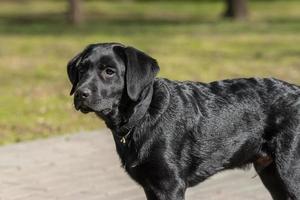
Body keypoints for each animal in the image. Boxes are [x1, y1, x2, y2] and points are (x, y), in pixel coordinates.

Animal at [68, 43, 300, 199]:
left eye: (109, 72)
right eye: (81, 70)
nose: (80, 93)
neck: (144, 114)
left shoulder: (170, 185)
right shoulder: (151, 187)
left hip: (290, 171)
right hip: (272, 174)